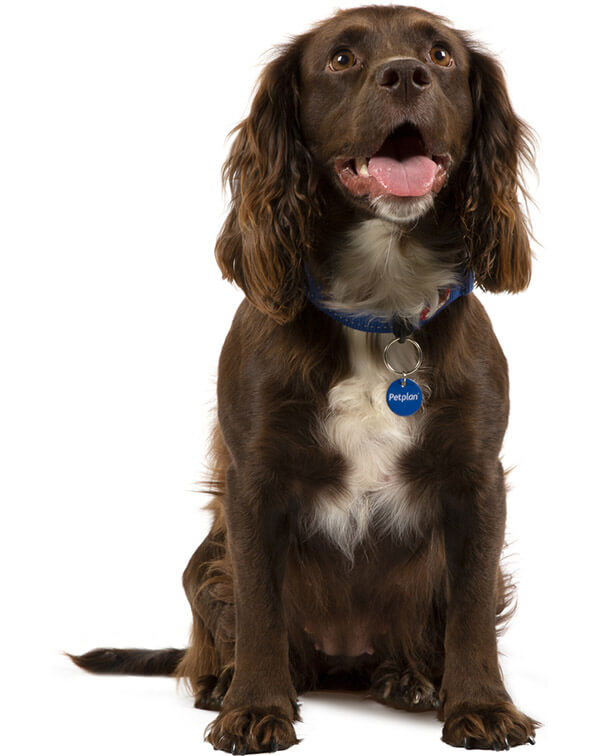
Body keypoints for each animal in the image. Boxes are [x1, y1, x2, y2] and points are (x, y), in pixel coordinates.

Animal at [70, 4, 540, 752]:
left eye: (440, 54)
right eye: (341, 60)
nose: (404, 74)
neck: (379, 309)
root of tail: (342, 660)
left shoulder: (477, 479)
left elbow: (470, 610)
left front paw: (482, 705)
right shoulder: (254, 482)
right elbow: (261, 606)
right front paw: (255, 707)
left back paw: (407, 678)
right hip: (205, 560)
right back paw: (221, 684)